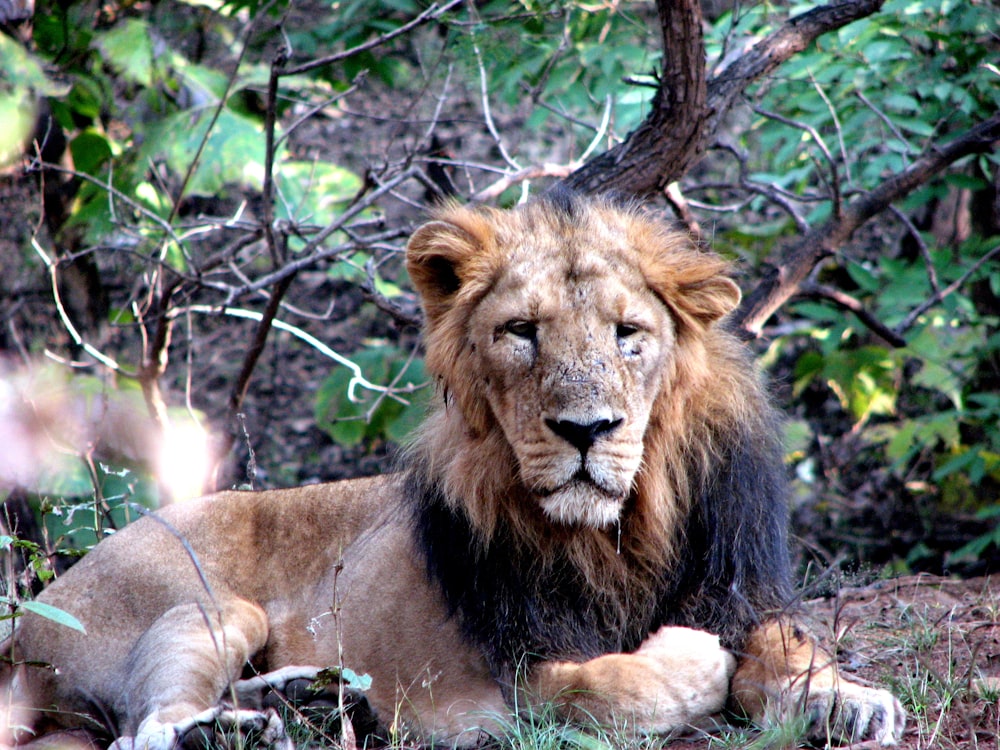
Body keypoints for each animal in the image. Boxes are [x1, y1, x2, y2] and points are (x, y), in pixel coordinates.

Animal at [1, 191, 908, 748]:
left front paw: (847, 698)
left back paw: (304, 697)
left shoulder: (742, 585)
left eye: (628, 333)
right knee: (143, 731)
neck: (621, 530)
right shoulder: (517, 676)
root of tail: (24, 624)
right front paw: (698, 663)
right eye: (521, 332)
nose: (586, 430)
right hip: (207, 608)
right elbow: (620, 689)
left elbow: (789, 646)